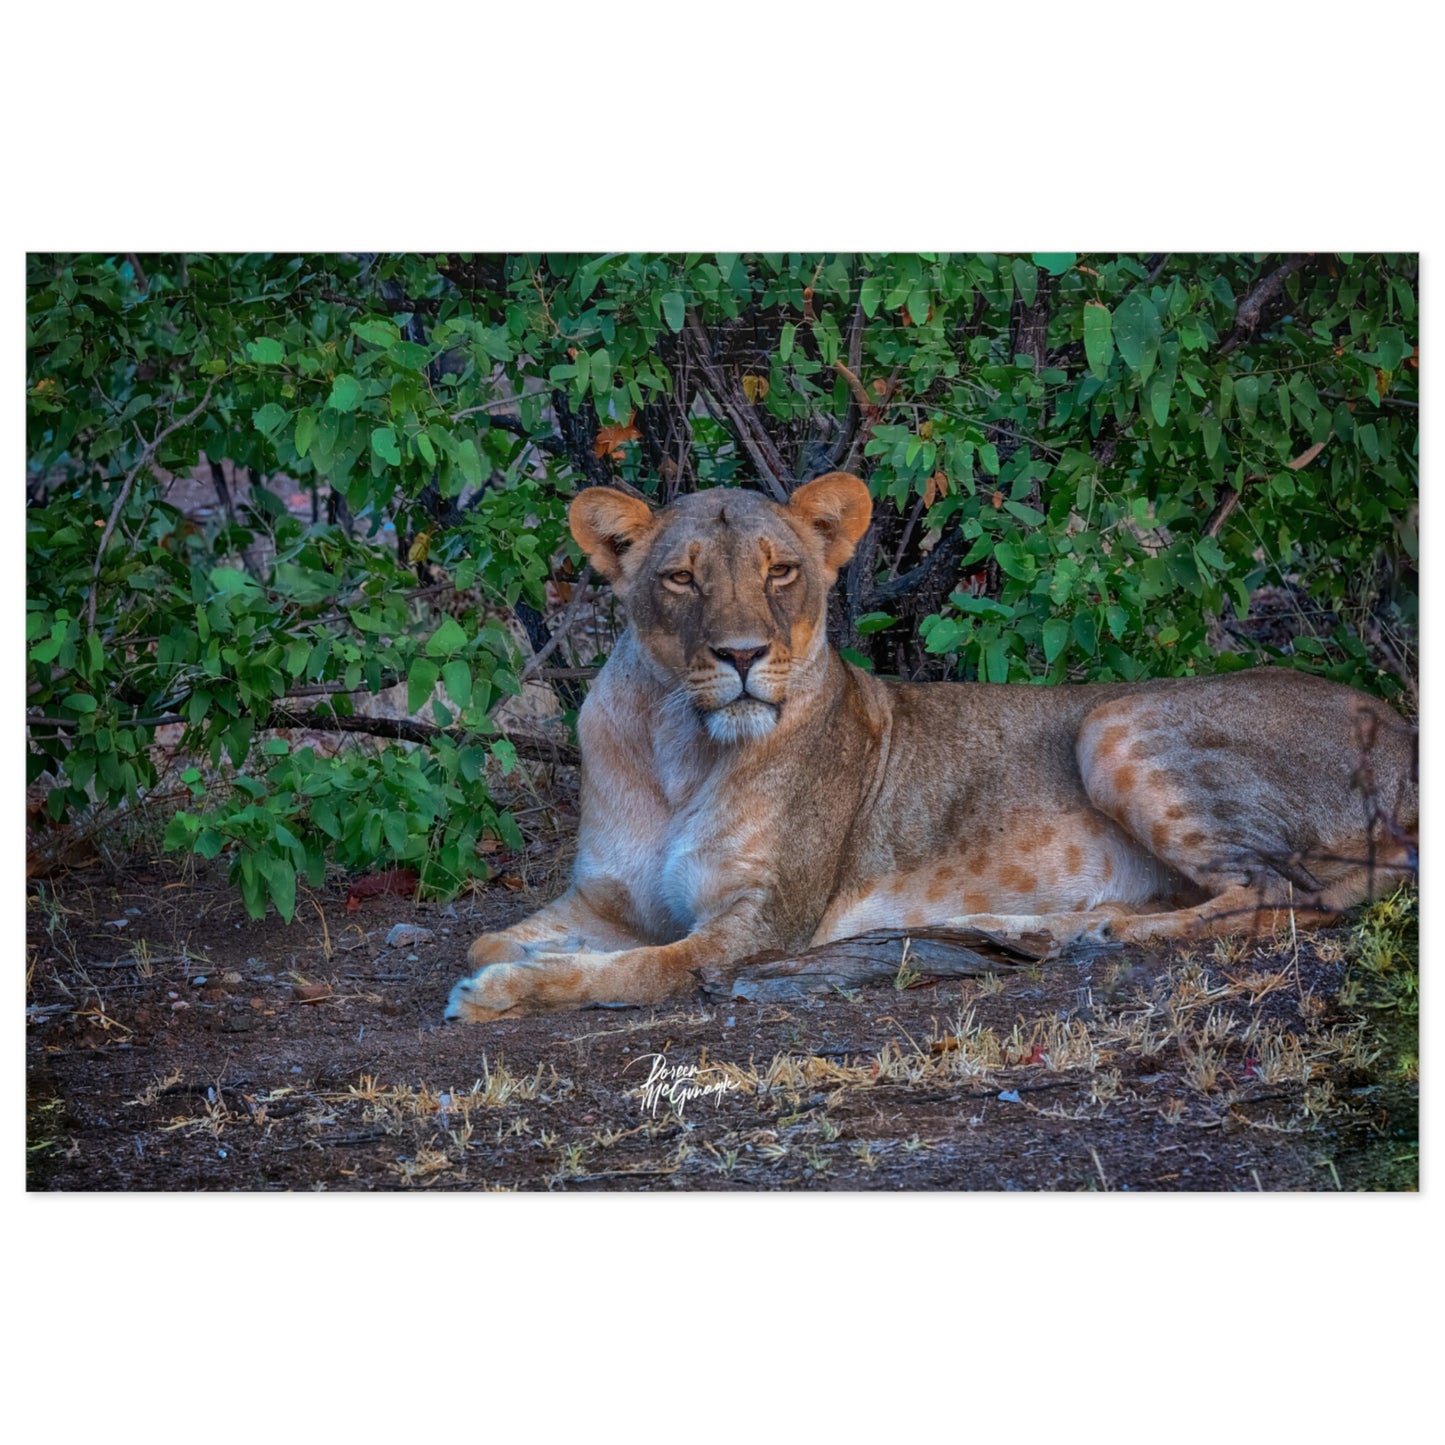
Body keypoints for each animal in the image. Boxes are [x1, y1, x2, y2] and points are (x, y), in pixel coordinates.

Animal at [446, 472, 1417, 1022]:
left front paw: (505, 993)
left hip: (1112, 720)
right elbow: (489, 940)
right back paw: (1036, 928)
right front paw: (514, 962)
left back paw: (1101, 929)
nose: (742, 655)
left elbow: (635, 969)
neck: (675, 744)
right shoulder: (602, 897)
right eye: (681, 577)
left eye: (780, 571)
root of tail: (1403, 727)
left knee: (1283, 893)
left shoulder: (758, 924)